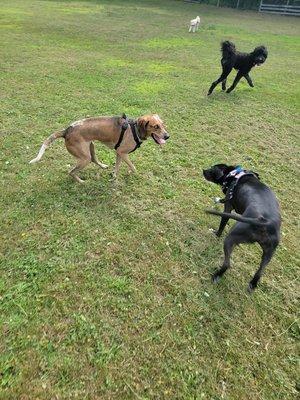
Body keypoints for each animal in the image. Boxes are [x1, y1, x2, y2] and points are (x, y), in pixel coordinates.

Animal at [29, 114, 170, 183]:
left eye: (163, 125)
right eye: (155, 126)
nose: (167, 136)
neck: (134, 129)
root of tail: (66, 131)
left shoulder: (119, 153)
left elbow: (118, 167)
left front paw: (114, 176)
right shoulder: (123, 153)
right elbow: (133, 167)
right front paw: (134, 174)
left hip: (90, 148)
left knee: (94, 159)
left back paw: (102, 166)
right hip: (84, 158)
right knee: (71, 172)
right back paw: (81, 182)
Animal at [203, 164, 280, 292]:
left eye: (212, 169)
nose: (203, 170)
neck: (235, 174)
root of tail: (264, 221)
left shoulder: (228, 207)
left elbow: (222, 224)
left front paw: (216, 234)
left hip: (231, 238)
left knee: (227, 264)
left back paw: (216, 276)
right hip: (268, 253)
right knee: (260, 272)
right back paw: (252, 285)